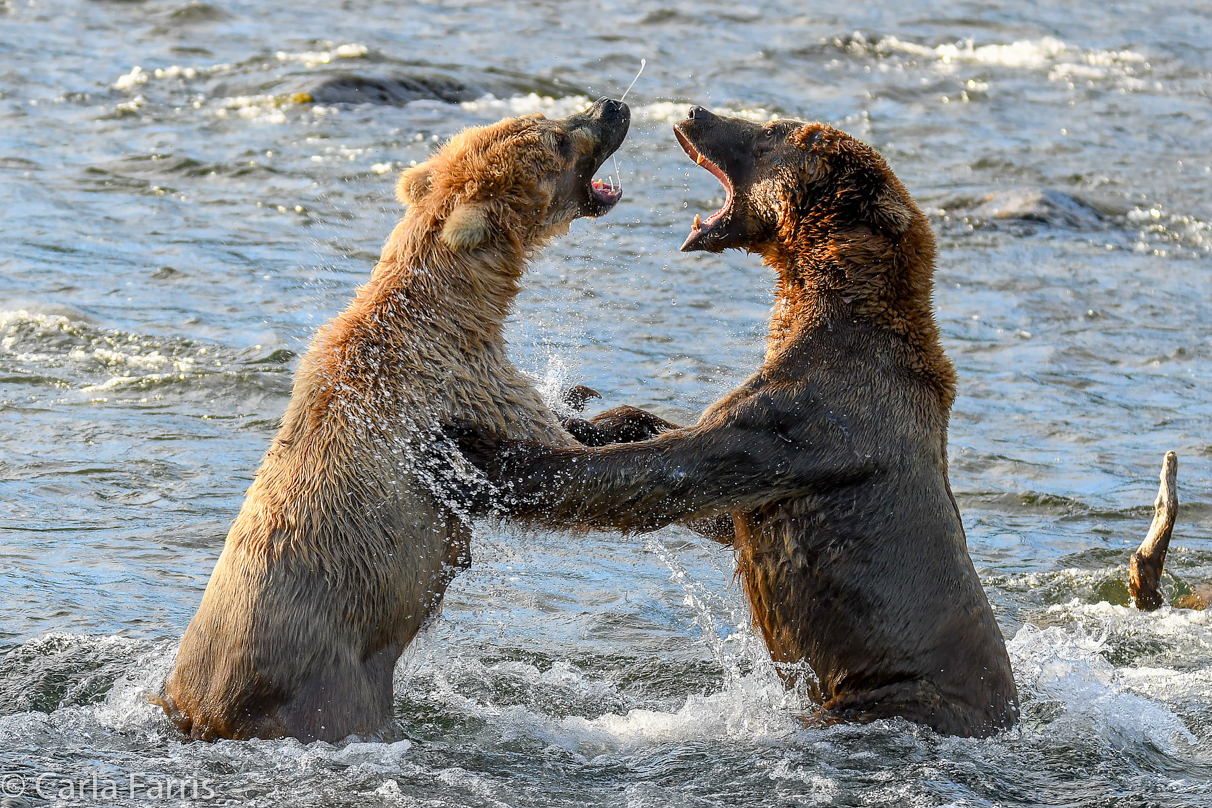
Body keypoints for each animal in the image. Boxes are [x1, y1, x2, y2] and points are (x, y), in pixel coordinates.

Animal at [157, 98, 630, 741]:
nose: (612, 106)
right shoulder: (460, 383)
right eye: (558, 139)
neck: (456, 308)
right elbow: (550, 462)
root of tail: (201, 712)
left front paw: (582, 397)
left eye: (548, 116)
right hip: (330, 682)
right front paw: (624, 418)